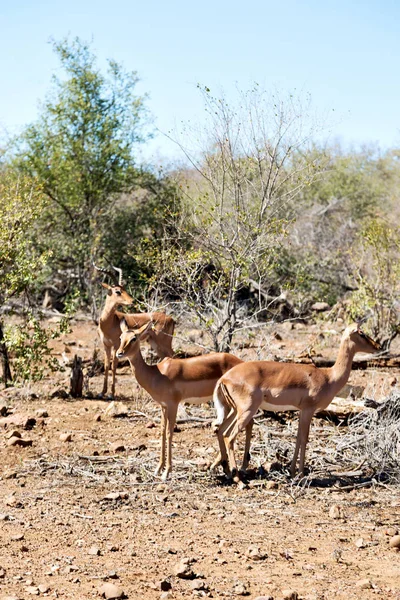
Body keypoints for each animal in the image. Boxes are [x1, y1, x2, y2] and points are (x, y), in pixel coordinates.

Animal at [94, 264, 176, 398]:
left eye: (124, 288)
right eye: (117, 291)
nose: (132, 301)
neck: (109, 322)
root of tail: (171, 319)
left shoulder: (116, 346)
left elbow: (114, 365)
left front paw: (111, 393)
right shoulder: (106, 345)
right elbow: (106, 366)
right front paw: (102, 392)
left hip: (164, 343)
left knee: (174, 355)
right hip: (155, 344)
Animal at [115, 318, 241, 482]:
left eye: (134, 338)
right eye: (121, 337)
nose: (119, 353)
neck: (156, 374)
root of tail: (241, 362)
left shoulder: (173, 404)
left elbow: (170, 433)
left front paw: (166, 472)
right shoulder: (163, 406)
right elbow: (162, 431)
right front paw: (158, 469)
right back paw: (220, 467)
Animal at [211, 326, 380, 480]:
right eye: (361, 333)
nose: (377, 347)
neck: (328, 377)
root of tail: (224, 378)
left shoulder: (301, 411)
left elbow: (298, 438)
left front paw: (292, 472)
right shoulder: (308, 410)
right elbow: (304, 439)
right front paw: (301, 474)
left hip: (234, 411)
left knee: (220, 430)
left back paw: (225, 471)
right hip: (246, 411)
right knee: (229, 436)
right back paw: (237, 477)